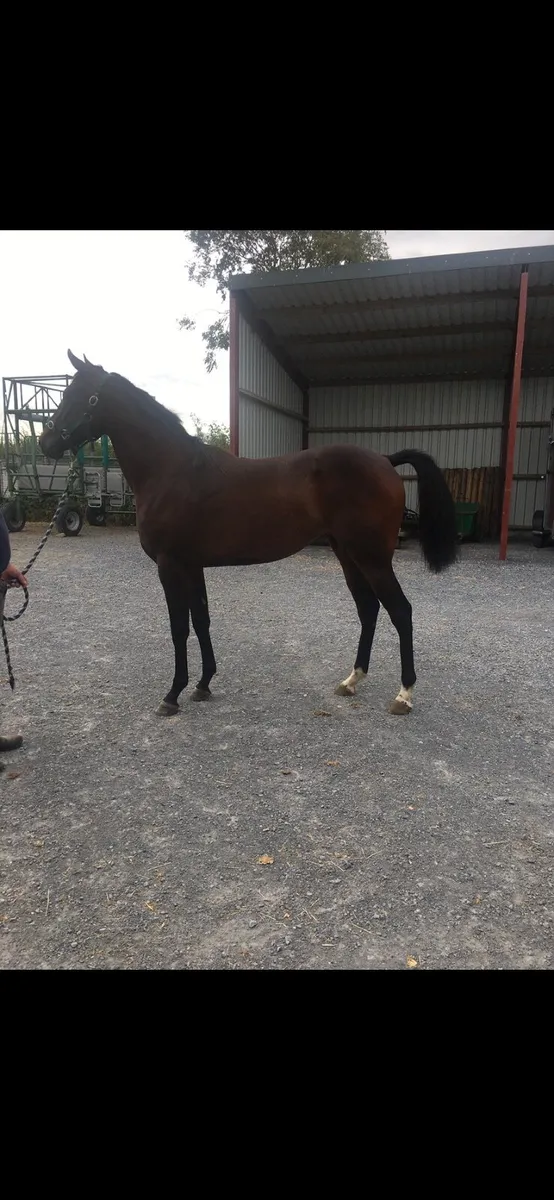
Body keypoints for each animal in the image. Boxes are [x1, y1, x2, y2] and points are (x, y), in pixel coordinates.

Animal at [39, 351, 458, 718]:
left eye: (76, 395)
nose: (46, 443)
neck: (171, 470)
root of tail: (385, 460)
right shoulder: (192, 565)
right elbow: (201, 620)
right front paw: (203, 684)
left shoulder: (170, 565)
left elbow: (179, 628)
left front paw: (172, 694)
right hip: (348, 554)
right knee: (369, 609)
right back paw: (352, 680)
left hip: (372, 557)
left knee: (400, 611)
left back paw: (404, 695)